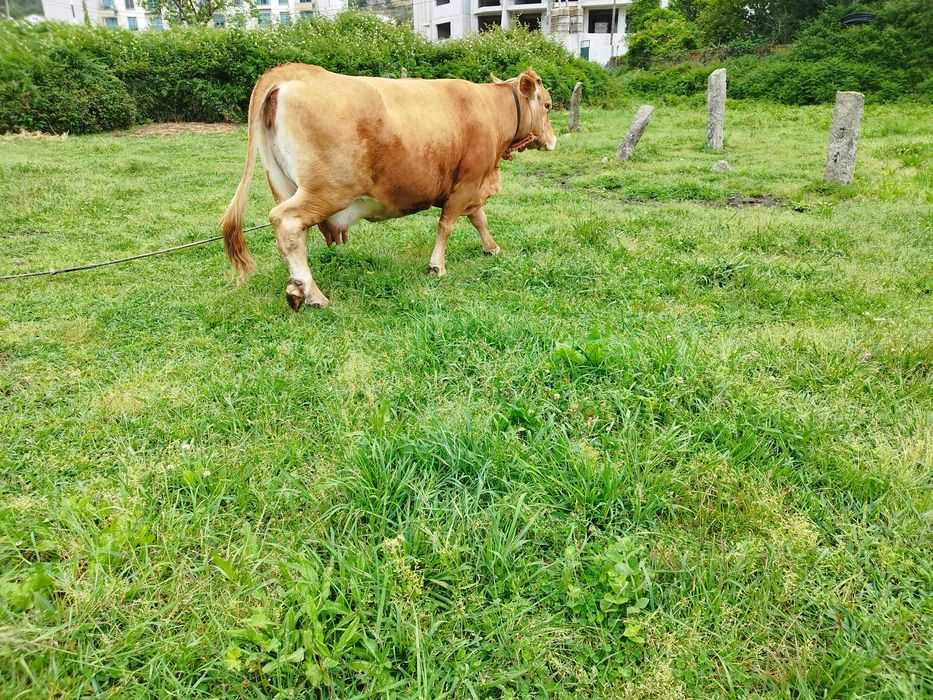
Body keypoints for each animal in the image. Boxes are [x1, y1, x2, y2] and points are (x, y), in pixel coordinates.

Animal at [221, 63, 557, 310]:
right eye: (549, 105)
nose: (553, 140)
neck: (489, 108)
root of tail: (294, 73)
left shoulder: (472, 189)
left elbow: (479, 219)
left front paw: (492, 248)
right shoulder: (468, 182)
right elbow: (447, 225)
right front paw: (437, 266)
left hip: (285, 185)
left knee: (294, 238)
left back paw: (306, 290)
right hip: (326, 191)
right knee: (285, 222)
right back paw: (309, 293)